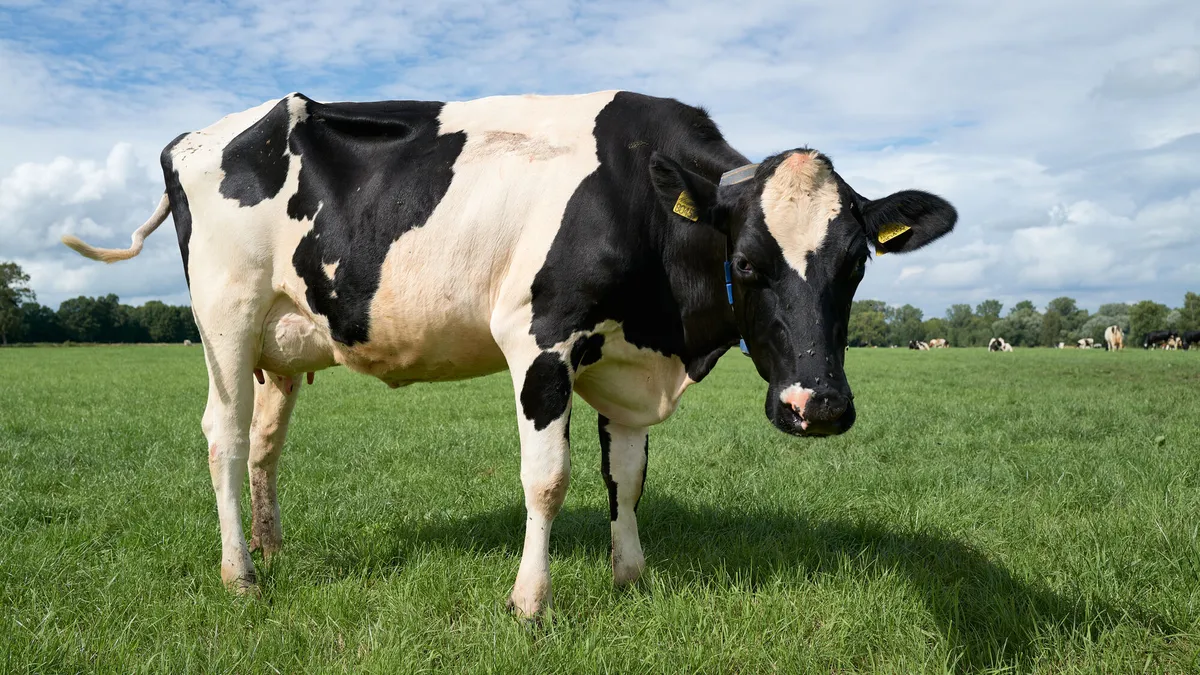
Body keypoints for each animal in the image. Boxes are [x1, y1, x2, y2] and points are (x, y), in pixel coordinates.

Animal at [60, 91, 955, 619]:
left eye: (856, 264)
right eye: (748, 262)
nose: (818, 405)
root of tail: (203, 133)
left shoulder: (623, 363)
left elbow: (628, 476)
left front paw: (631, 574)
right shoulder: (542, 340)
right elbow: (548, 479)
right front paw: (531, 601)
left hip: (281, 341)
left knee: (265, 444)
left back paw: (273, 546)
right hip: (226, 318)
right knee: (223, 436)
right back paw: (242, 574)